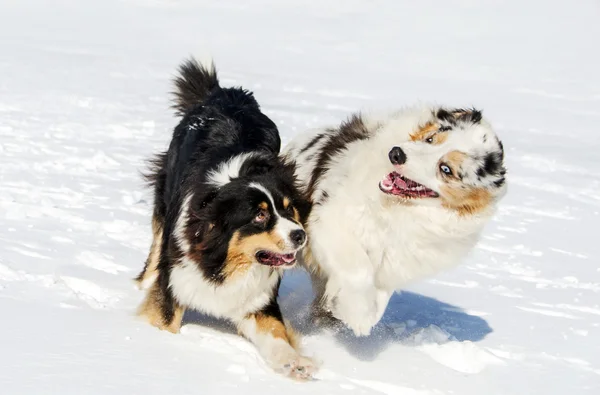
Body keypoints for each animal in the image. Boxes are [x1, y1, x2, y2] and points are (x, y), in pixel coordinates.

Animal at [134, 58, 316, 380]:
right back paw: (145, 281)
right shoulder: (178, 278)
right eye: (259, 215)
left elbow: (275, 332)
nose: (300, 235)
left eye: (288, 209)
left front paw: (293, 363)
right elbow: (165, 319)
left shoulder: (258, 297)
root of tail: (227, 93)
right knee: (156, 245)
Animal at [284, 107, 506, 338]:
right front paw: (358, 315)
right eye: (430, 138)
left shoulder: (394, 260)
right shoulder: (329, 222)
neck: (396, 207)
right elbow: (360, 271)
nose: (396, 153)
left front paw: (345, 310)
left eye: (446, 169)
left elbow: (380, 297)